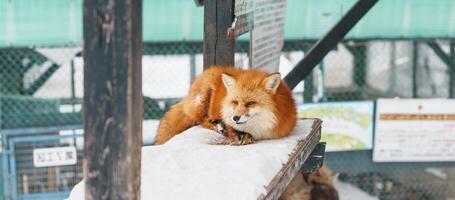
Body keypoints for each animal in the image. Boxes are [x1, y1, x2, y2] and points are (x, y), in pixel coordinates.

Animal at [156, 66, 300, 145]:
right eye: (235, 102)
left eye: (250, 103)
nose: (235, 118)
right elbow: (233, 129)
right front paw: (238, 134)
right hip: (202, 100)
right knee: (202, 119)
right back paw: (219, 127)